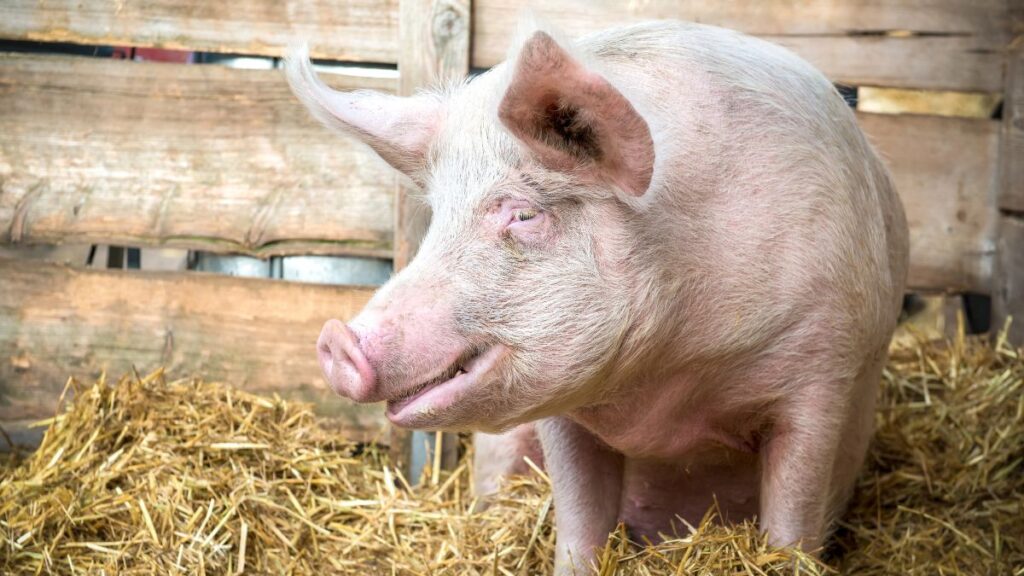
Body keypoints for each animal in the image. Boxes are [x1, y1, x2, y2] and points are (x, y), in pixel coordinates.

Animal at [292, 20, 909, 569]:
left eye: (523, 214)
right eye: (439, 218)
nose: (335, 340)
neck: (666, 388)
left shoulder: (823, 370)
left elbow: (792, 522)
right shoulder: (557, 410)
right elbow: (579, 525)